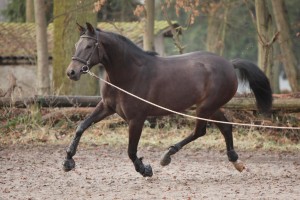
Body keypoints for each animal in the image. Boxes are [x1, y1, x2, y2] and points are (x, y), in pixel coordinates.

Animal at [63, 22, 272, 177]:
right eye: (76, 46)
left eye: (89, 46)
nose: (71, 72)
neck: (130, 74)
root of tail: (229, 64)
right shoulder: (106, 107)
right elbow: (81, 126)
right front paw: (68, 161)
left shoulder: (136, 119)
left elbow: (131, 150)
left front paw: (145, 169)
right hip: (211, 107)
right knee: (225, 128)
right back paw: (236, 161)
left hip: (205, 108)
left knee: (200, 131)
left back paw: (167, 155)